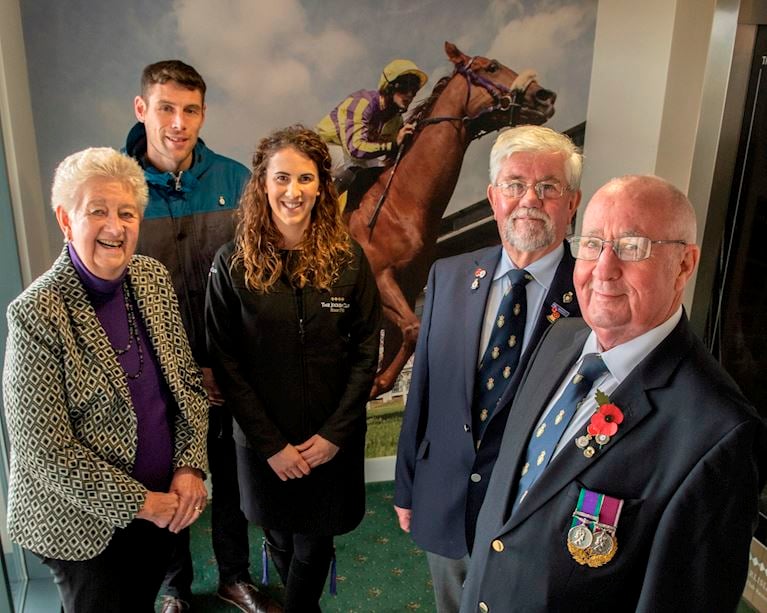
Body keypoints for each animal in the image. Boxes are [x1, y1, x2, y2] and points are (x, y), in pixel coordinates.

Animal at [350, 41, 560, 396]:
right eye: (491, 67)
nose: (545, 95)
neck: (399, 204)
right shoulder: (381, 277)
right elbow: (412, 330)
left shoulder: (407, 289)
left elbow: (409, 335)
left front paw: (378, 383)